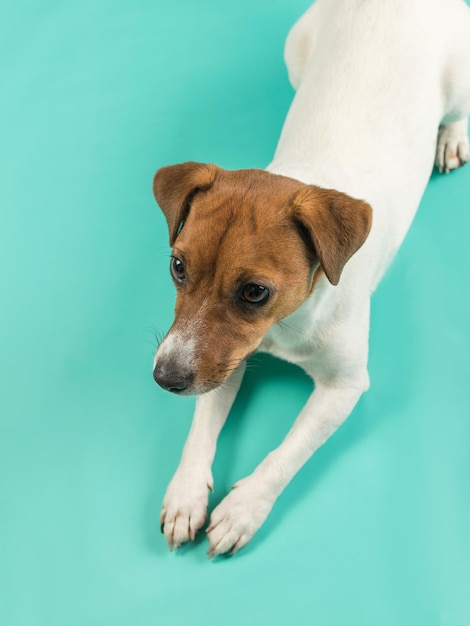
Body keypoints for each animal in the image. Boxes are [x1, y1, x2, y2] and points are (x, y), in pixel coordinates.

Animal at [152, 0, 468, 556]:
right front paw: (187, 493)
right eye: (178, 266)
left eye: (255, 292)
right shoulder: (222, 361)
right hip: (296, 47)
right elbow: (201, 428)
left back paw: (451, 136)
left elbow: (287, 454)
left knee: (458, 112)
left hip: (461, 81)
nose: (165, 378)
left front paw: (244, 508)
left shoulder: (344, 387)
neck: (287, 324)